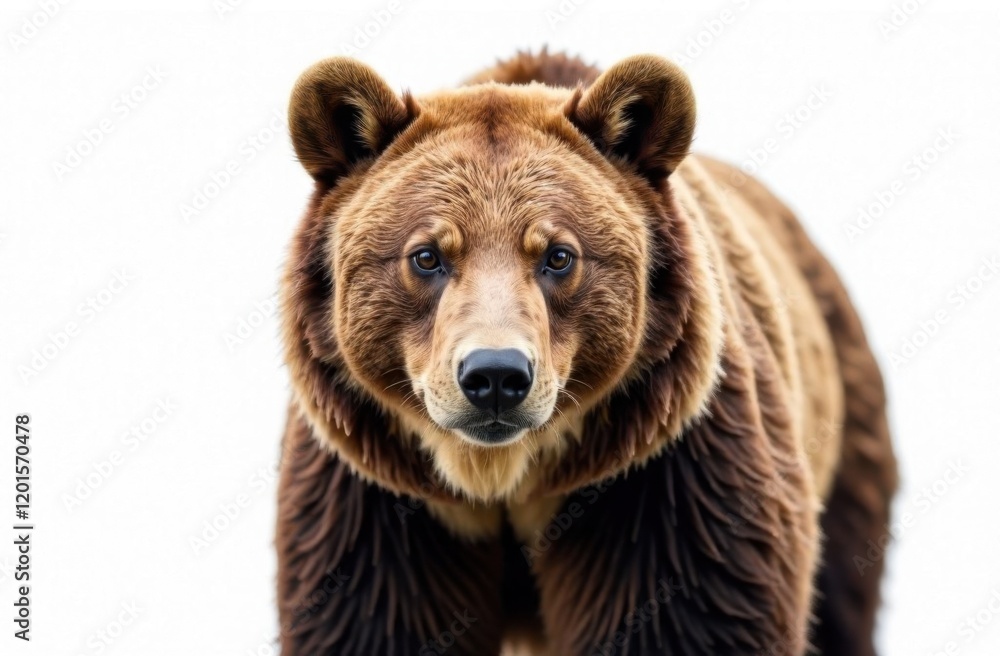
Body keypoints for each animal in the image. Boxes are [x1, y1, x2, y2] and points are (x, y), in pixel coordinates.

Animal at [275, 50, 898, 656]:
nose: (495, 375)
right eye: (427, 255)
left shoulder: (660, 483)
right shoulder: (379, 506)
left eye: (558, 255)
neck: (499, 480)